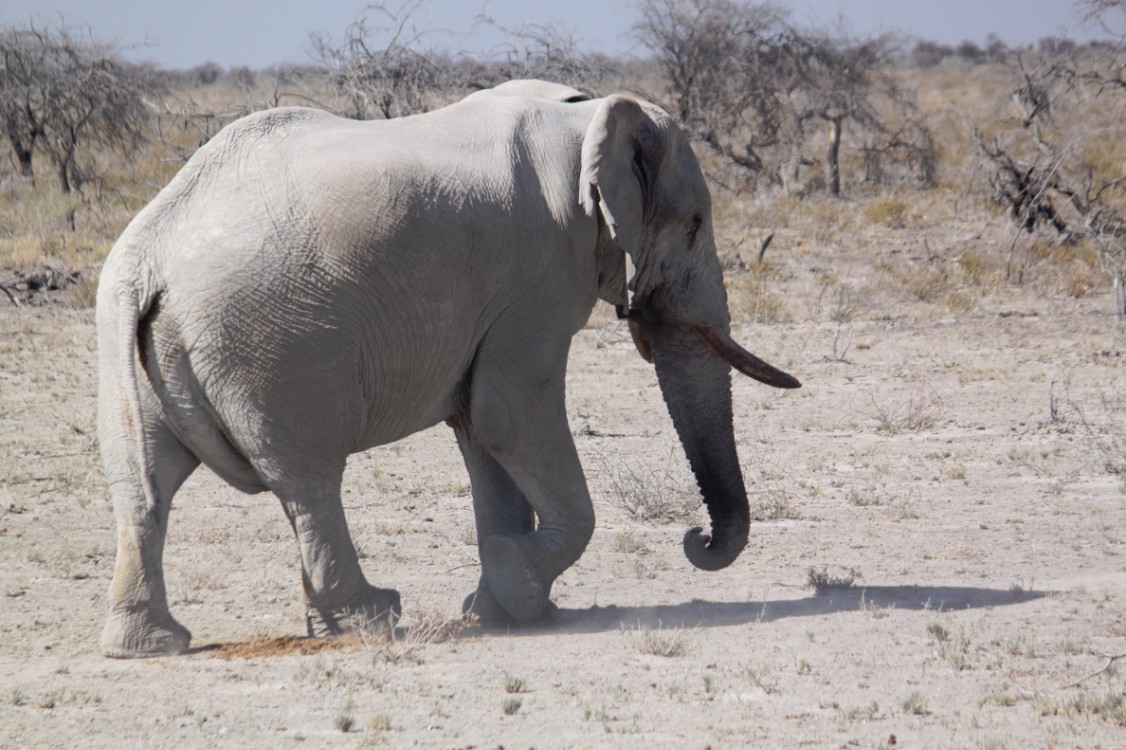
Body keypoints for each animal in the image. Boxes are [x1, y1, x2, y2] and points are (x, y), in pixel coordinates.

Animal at [96, 78, 801, 657]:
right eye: (696, 224)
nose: (696, 538)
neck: (586, 116)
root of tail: (150, 251)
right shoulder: (540, 275)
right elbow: (507, 417)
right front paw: (517, 590)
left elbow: (480, 431)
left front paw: (506, 611)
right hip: (270, 344)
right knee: (307, 476)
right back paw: (371, 618)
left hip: (136, 343)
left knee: (146, 483)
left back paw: (154, 643)